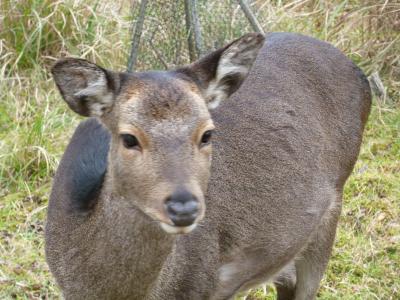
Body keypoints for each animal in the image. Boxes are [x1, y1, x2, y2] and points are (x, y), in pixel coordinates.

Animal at [45, 31, 370, 298]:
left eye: (207, 134)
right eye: (128, 138)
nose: (184, 207)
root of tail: (359, 72)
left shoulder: (203, 285)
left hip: (330, 214)